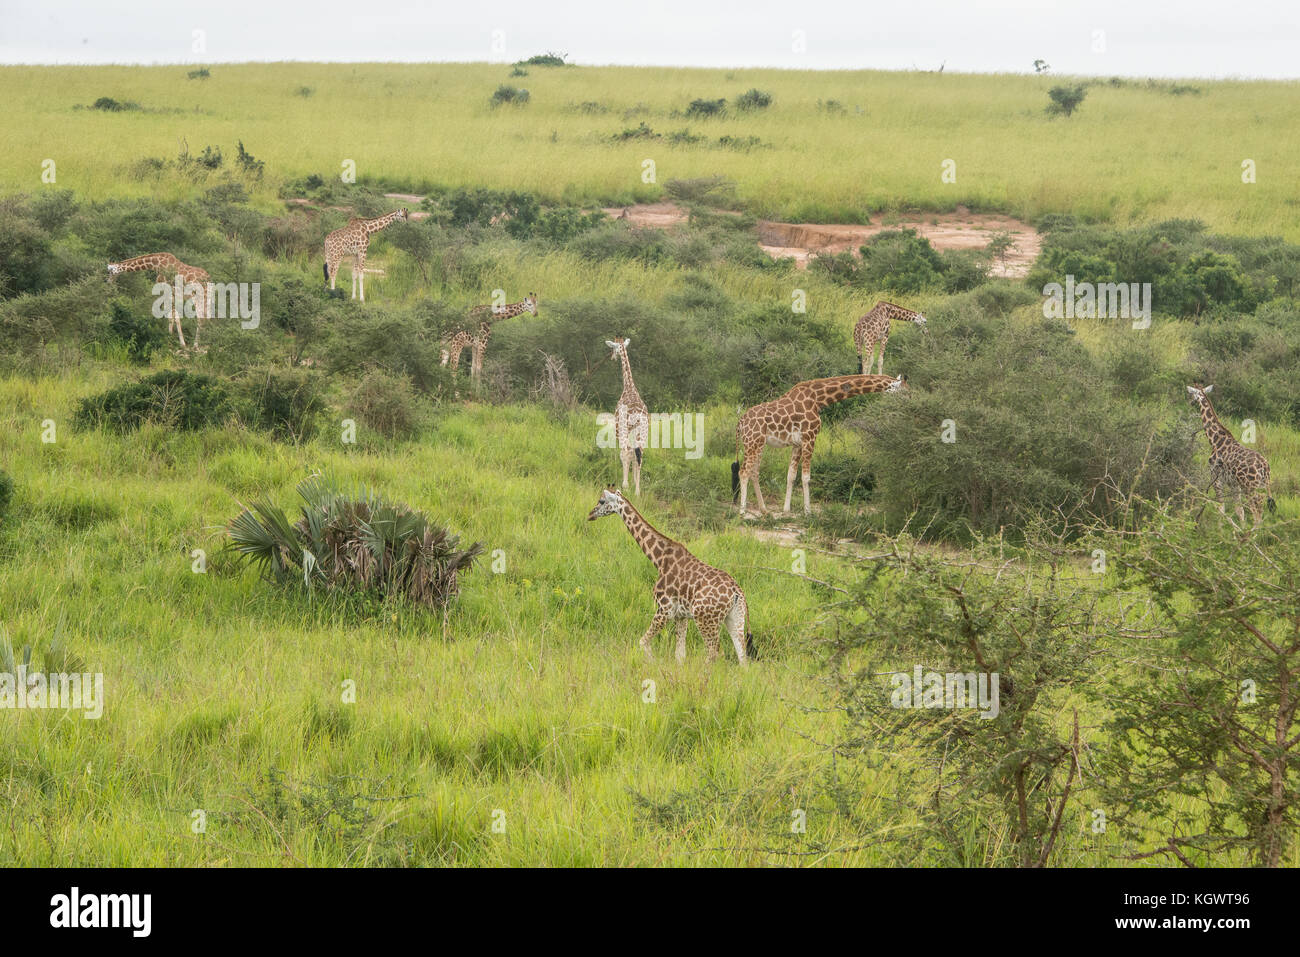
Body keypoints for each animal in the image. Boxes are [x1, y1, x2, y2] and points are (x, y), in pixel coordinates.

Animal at [587, 486, 759, 665]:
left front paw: (652, 664)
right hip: (735, 618)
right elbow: (679, 655)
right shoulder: (681, 615)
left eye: (601, 501)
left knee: (715, 653)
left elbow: (643, 642)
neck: (659, 558)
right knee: (742, 657)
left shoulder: (664, 609)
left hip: (705, 619)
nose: (590, 514)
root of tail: (737, 591)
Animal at [608, 335, 650, 496]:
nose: (612, 357)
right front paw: (633, 484)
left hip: (626, 431)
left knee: (627, 452)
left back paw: (625, 485)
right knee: (639, 457)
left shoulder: (618, 429)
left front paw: (626, 482)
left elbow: (622, 454)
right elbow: (634, 457)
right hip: (642, 435)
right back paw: (637, 491)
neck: (629, 387)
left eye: (613, 348)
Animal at [733, 371, 904, 514]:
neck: (818, 399)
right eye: (904, 390)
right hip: (752, 443)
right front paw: (808, 512)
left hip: (758, 444)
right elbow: (806, 477)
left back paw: (764, 510)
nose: (908, 403)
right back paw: (742, 512)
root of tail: (740, 423)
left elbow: (791, 476)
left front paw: (786, 510)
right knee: (744, 472)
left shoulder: (798, 444)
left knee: (754, 472)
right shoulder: (810, 438)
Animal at [1185, 382, 1274, 530]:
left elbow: (1221, 508)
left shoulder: (1216, 478)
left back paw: (1253, 534)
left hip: (1249, 487)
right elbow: (1239, 510)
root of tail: (1264, 467)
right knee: (1259, 508)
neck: (1215, 440)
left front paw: (1221, 532)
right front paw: (1240, 529)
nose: (1190, 403)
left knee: (1257, 510)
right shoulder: (1234, 484)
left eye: (1191, 394)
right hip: (1261, 485)